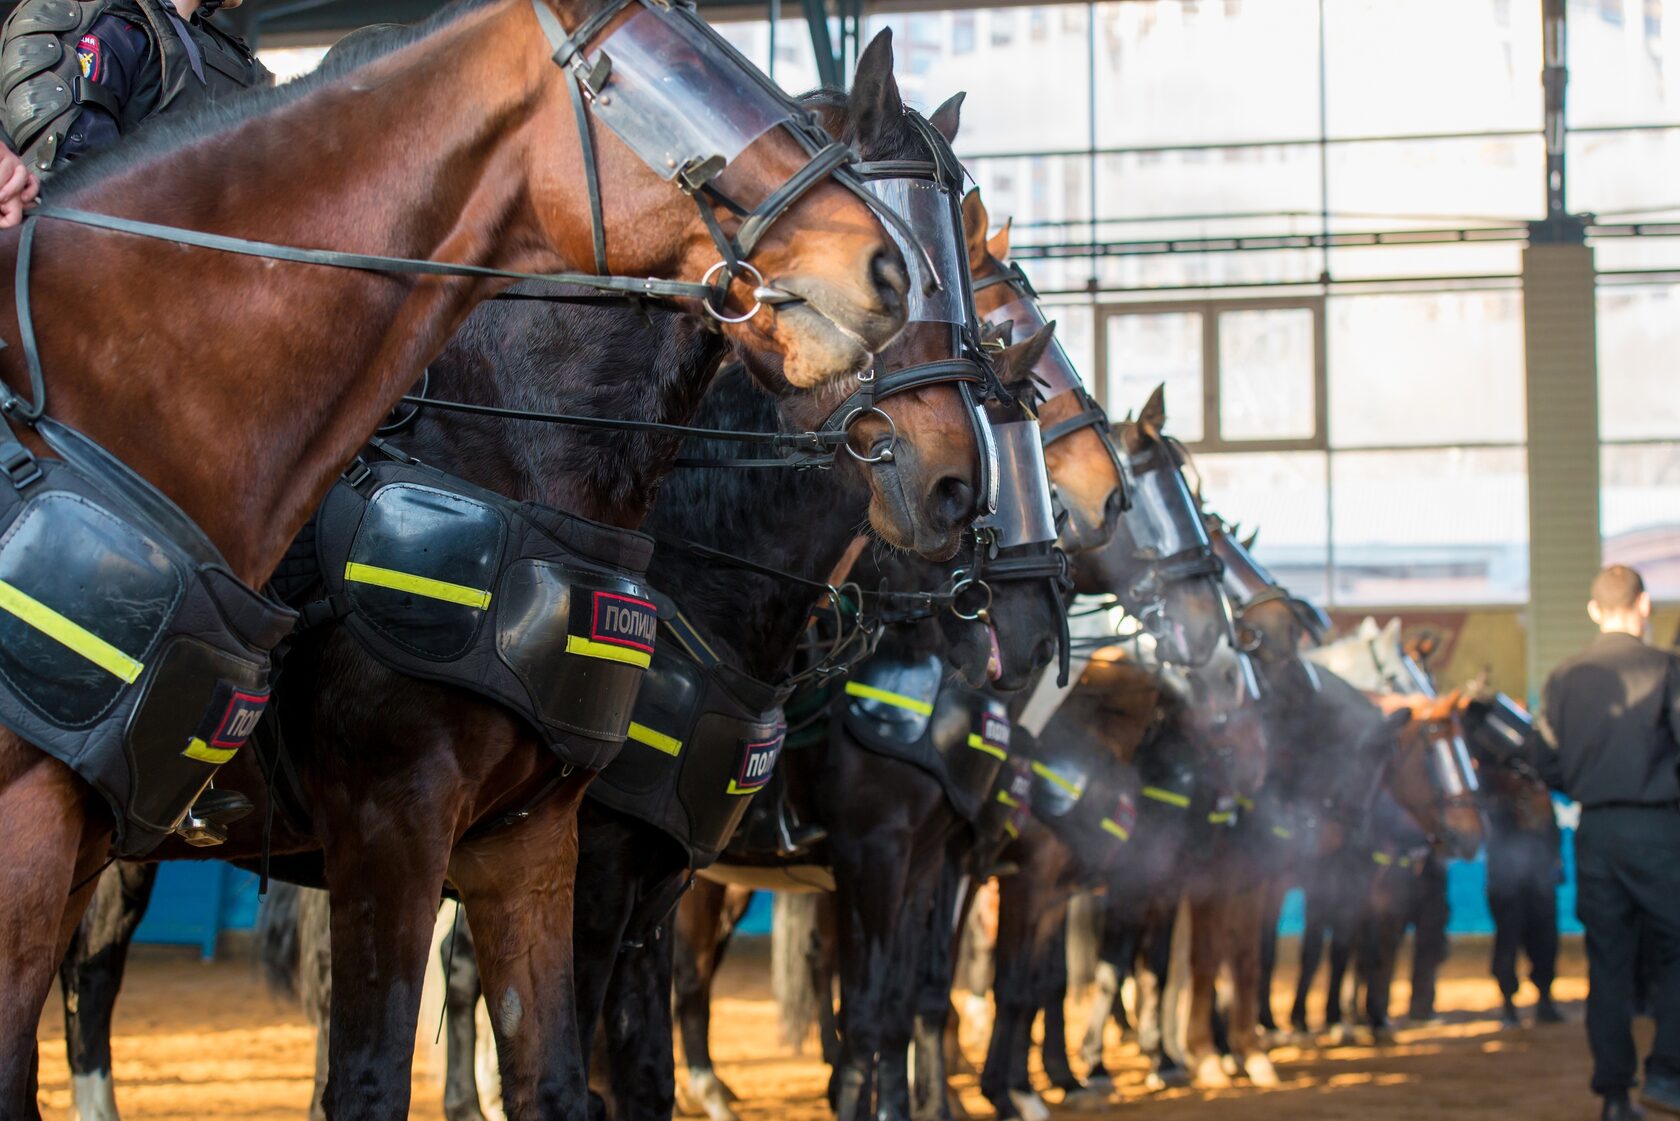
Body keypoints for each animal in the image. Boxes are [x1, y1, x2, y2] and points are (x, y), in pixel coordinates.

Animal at [0, 0, 920, 1115]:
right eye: (652, 85)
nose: (889, 273)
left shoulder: (537, 839)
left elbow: (566, 1071)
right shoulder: (395, 827)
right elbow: (373, 1068)